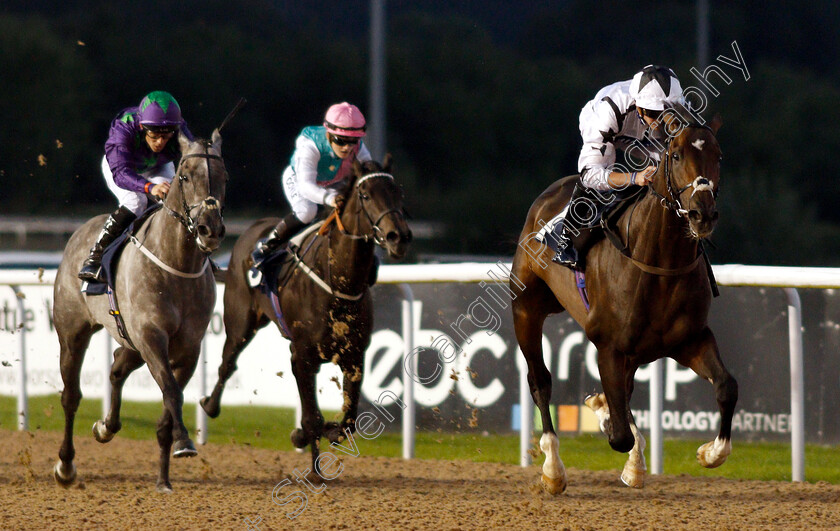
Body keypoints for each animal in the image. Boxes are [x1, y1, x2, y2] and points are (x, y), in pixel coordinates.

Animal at [54, 130, 228, 494]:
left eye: (224, 177)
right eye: (184, 177)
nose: (210, 229)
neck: (176, 264)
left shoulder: (187, 348)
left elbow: (168, 402)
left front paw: (164, 477)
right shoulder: (151, 337)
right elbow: (171, 392)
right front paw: (184, 442)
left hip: (130, 341)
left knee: (117, 368)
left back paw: (106, 426)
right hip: (72, 333)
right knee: (71, 396)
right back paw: (66, 465)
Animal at [200, 157, 410, 474]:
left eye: (398, 192)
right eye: (365, 195)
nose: (399, 236)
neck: (338, 284)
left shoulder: (354, 356)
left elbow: (348, 421)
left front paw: (317, 433)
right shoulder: (304, 355)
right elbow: (313, 418)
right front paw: (314, 467)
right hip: (240, 322)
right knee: (227, 363)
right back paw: (209, 405)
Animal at [506, 110, 736, 496]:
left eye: (718, 157)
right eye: (676, 155)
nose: (702, 215)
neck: (660, 264)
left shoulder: (691, 340)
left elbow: (726, 387)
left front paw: (710, 452)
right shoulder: (608, 345)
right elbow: (619, 434)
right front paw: (605, 420)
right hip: (527, 308)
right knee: (540, 381)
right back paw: (553, 469)